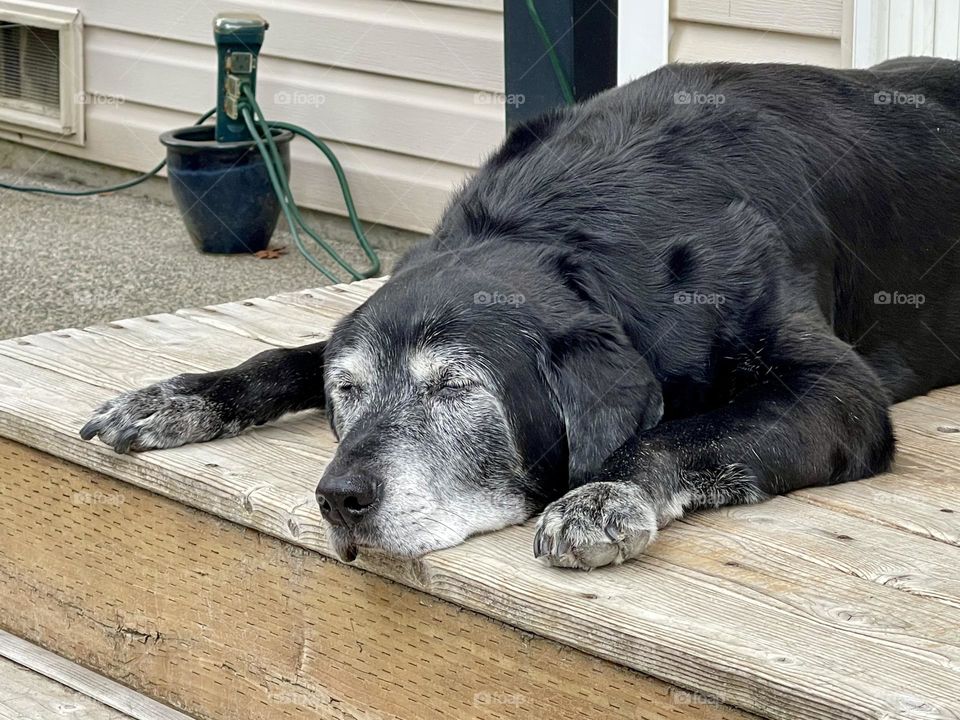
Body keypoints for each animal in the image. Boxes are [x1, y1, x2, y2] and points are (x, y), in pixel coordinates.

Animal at [80, 57, 960, 568]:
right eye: (348, 392)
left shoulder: (839, 392)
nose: (338, 500)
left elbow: (679, 431)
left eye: (456, 389)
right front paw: (178, 397)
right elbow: (281, 355)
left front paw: (605, 494)